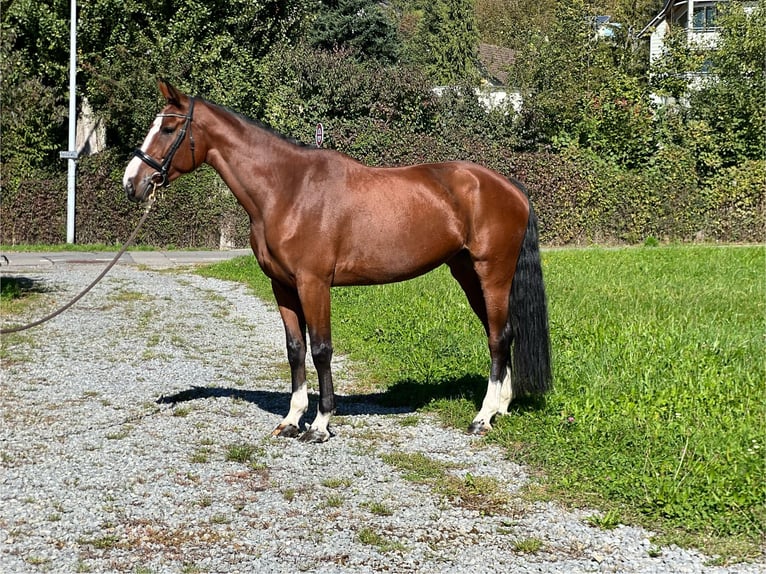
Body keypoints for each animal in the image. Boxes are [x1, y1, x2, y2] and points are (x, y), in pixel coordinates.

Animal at [124, 79, 552, 444]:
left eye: (167, 129)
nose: (132, 182)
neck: (288, 189)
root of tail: (509, 186)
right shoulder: (282, 285)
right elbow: (295, 349)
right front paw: (291, 420)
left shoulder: (313, 283)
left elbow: (321, 349)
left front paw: (320, 424)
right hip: (467, 273)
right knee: (504, 333)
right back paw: (502, 409)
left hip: (492, 273)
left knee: (498, 338)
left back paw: (482, 418)